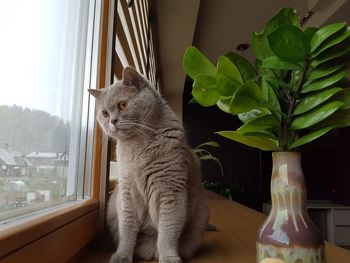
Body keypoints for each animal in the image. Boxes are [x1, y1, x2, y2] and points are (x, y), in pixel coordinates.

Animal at [88, 67, 208, 263]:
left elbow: (168, 231)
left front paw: (169, 257)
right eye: (105, 113)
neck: (137, 145)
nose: (112, 120)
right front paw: (122, 256)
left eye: (123, 105)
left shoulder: (170, 190)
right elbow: (127, 231)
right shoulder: (127, 192)